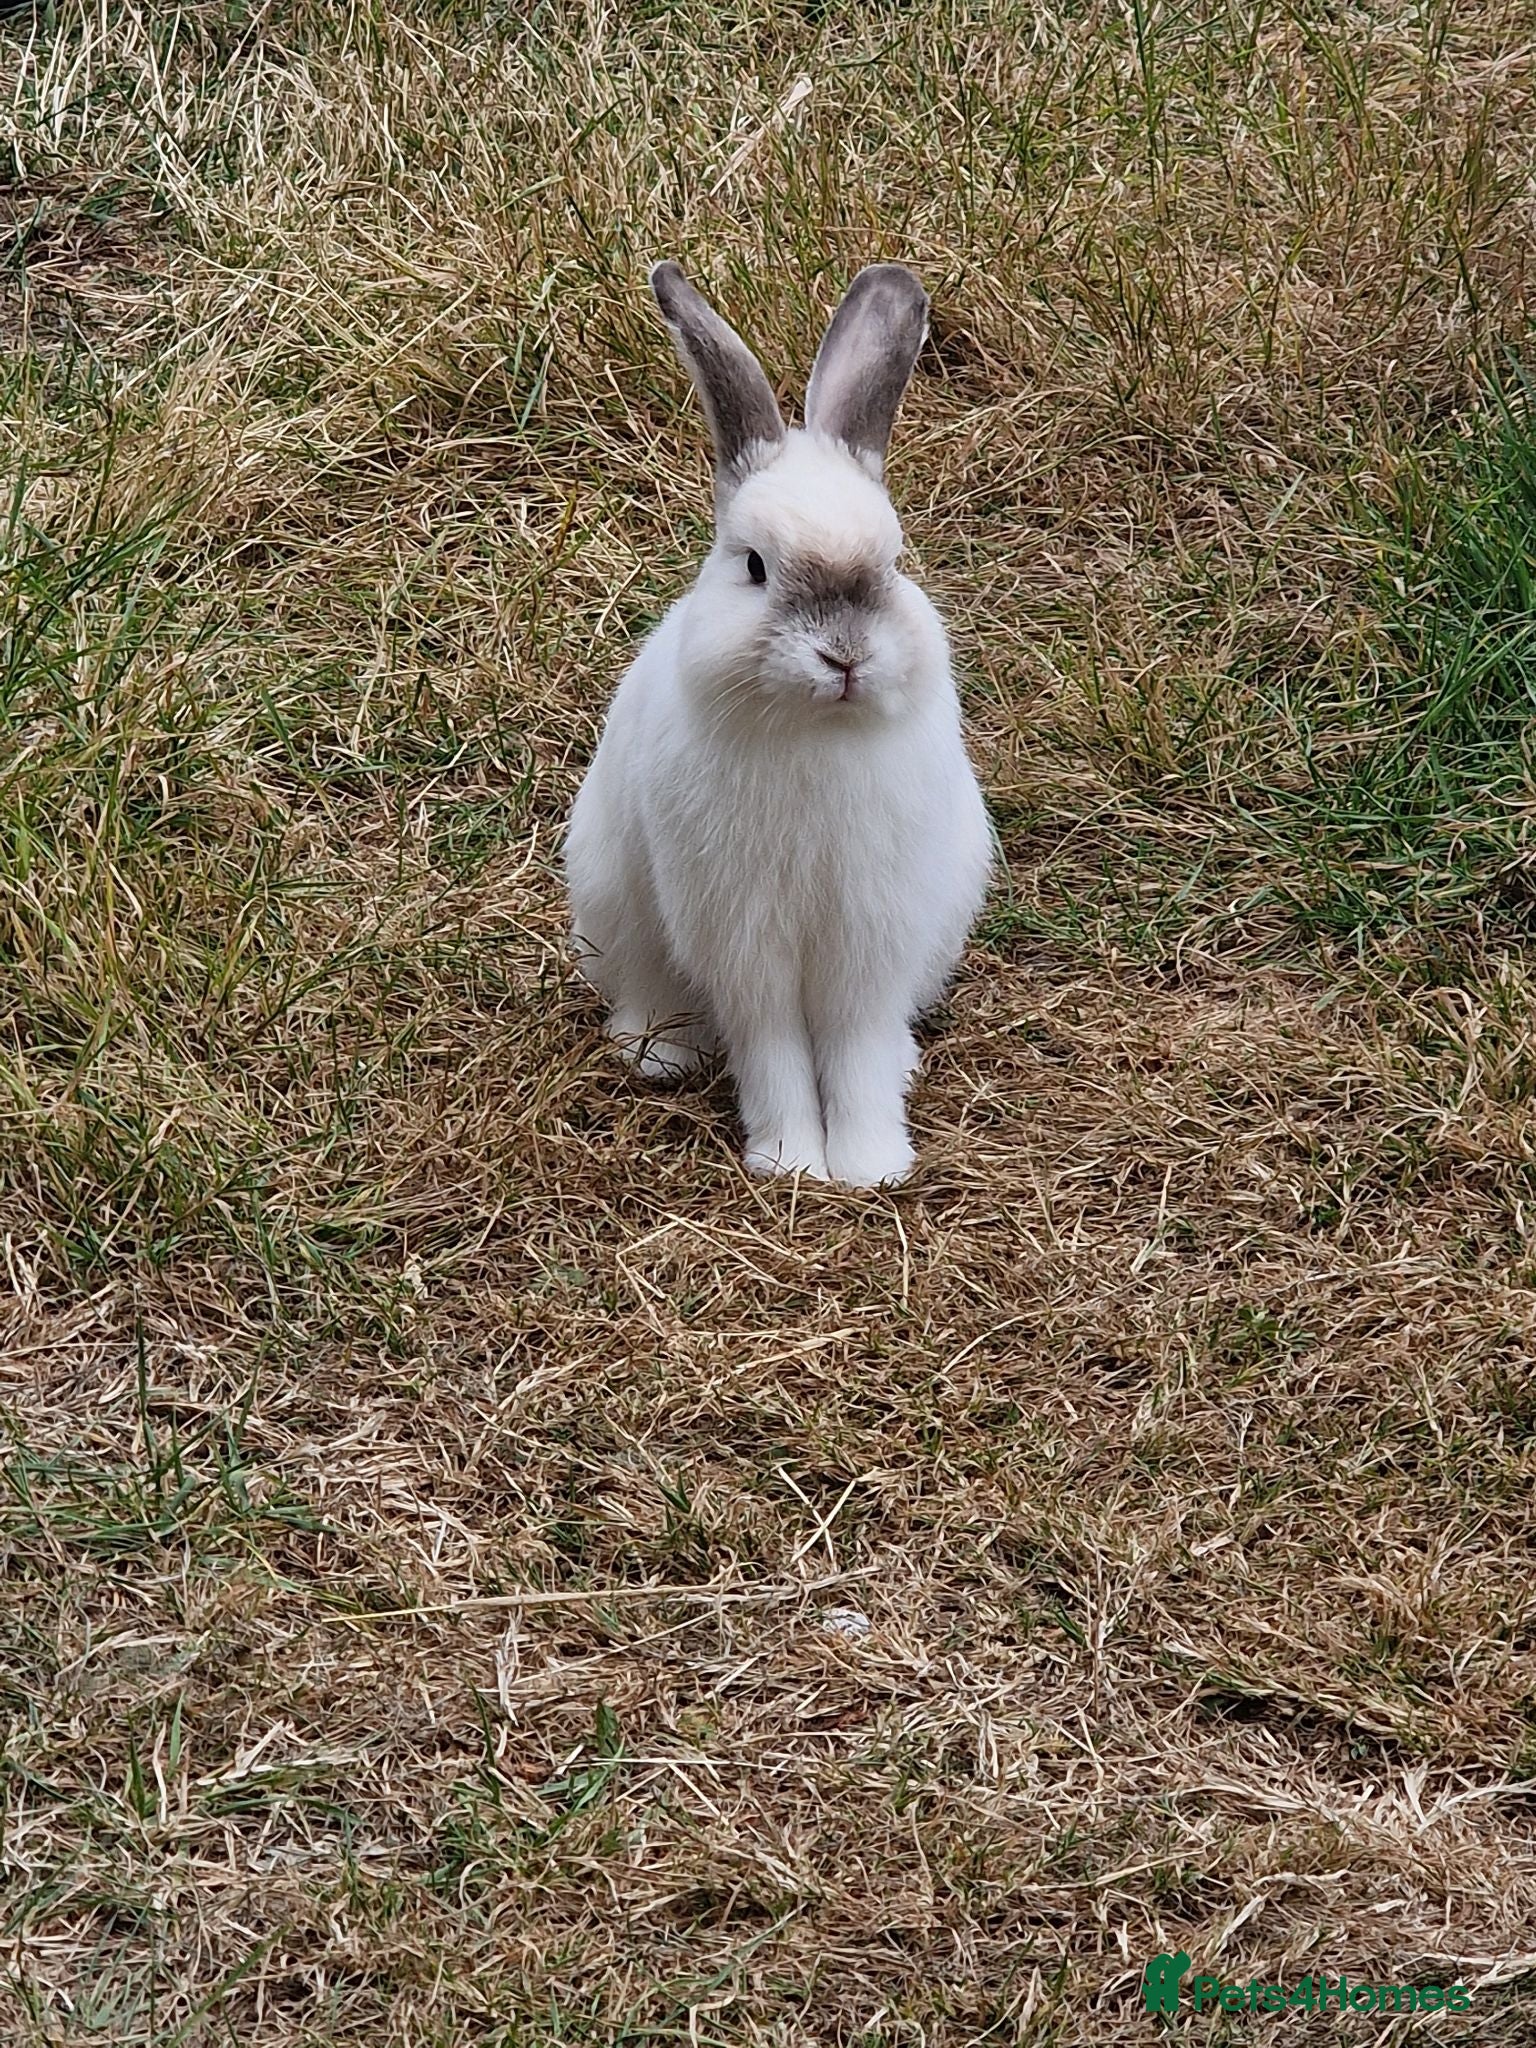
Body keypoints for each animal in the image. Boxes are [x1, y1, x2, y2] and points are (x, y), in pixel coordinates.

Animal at [564, 259, 991, 1188]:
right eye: (755, 566)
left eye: (894, 563)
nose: (845, 657)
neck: (813, 734)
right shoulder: (743, 941)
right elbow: (772, 1050)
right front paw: (791, 1161)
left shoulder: (871, 939)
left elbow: (856, 1050)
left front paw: (871, 1165)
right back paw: (658, 1055)